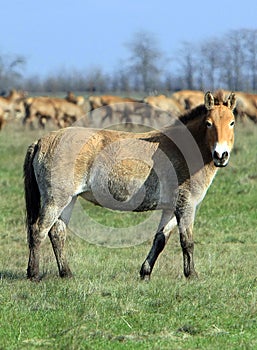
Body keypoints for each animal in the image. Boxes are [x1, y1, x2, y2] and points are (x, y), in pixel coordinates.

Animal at [23, 91, 235, 282]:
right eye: (208, 123)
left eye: (232, 123)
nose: (221, 155)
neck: (186, 149)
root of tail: (41, 141)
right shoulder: (186, 206)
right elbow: (187, 241)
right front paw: (192, 275)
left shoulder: (171, 209)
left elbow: (160, 240)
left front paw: (145, 273)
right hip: (56, 200)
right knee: (38, 231)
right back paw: (33, 274)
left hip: (69, 200)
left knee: (57, 233)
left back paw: (66, 274)